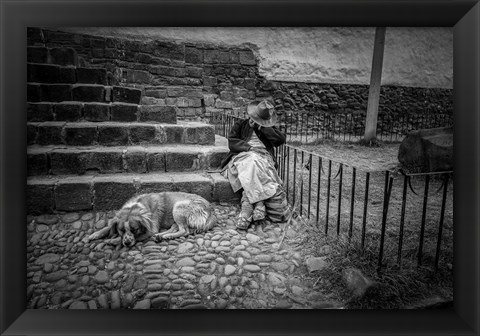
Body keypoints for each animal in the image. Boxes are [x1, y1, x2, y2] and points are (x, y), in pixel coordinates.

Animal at [88, 192, 218, 247]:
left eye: (134, 229)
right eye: (121, 230)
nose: (127, 243)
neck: (136, 206)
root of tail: (210, 208)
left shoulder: (151, 229)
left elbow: (139, 236)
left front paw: (114, 240)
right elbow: (108, 227)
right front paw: (95, 234)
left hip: (178, 207)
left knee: (184, 231)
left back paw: (166, 236)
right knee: (175, 227)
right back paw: (161, 236)